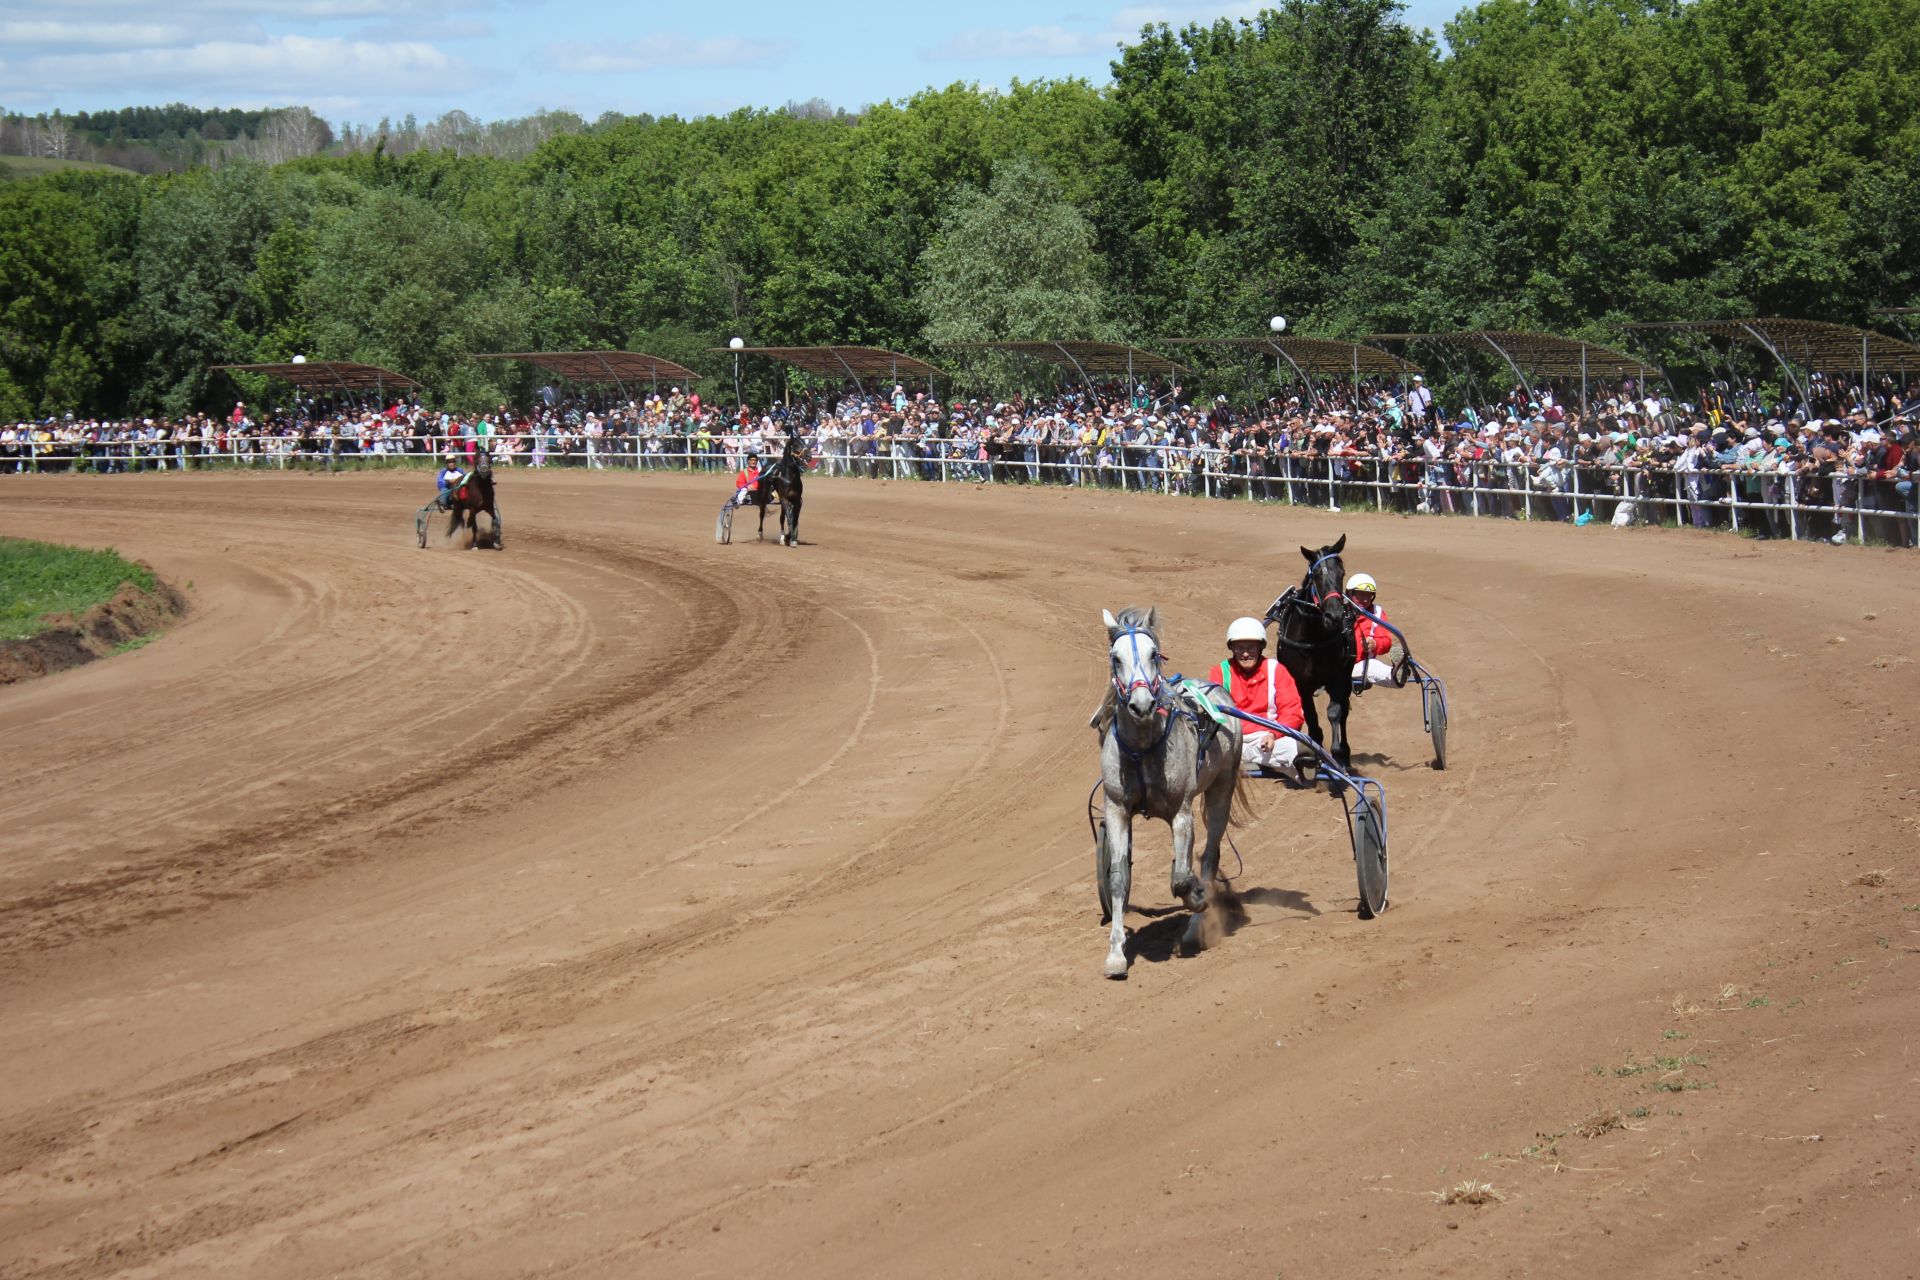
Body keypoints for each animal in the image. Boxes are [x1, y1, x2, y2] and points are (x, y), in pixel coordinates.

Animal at [1098, 606, 1259, 974]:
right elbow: (1118, 878)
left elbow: (1184, 878)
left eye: (1153, 654)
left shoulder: (1182, 813)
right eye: (1116, 658)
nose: (1141, 704)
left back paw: (1194, 928)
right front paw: (1116, 954)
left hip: (1221, 788)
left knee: (1209, 857)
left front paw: (1196, 898)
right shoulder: (1116, 808)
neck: (1143, 748)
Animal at [1267, 537, 1359, 786]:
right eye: (1317, 575)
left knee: (1344, 710)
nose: (1334, 616)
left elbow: (1335, 712)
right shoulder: (1301, 683)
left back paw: (1345, 755)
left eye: (1342, 572)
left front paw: (1337, 757)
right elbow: (1311, 719)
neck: (1313, 637)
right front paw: (1317, 761)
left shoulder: (1337, 676)